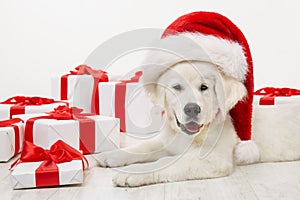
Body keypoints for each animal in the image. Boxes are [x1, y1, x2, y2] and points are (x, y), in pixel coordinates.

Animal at [95, 61, 300, 188]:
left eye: (204, 87)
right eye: (176, 87)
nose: (192, 109)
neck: (189, 136)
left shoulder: (213, 159)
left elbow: (164, 163)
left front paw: (132, 173)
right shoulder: (166, 142)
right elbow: (143, 147)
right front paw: (109, 155)